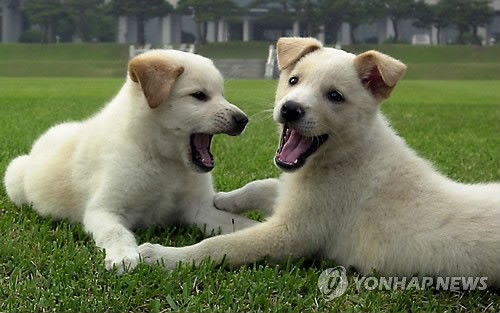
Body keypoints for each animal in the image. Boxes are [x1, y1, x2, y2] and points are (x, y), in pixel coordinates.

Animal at [1, 48, 256, 272]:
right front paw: (123, 257)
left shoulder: (199, 208)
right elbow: (117, 233)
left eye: (222, 93)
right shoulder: (104, 210)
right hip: (14, 175)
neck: (163, 160)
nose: (243, 120)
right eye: (199, 95)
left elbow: (236, 223)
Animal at [138, 37, 500, 286]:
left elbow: (219, 246)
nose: (290, 109)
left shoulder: (294, 232)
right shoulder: (295, 194)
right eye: (293, 80)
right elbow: (265, 184)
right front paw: (226, 199)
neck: (349, 153)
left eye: (335, 96)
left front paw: (162, 256)